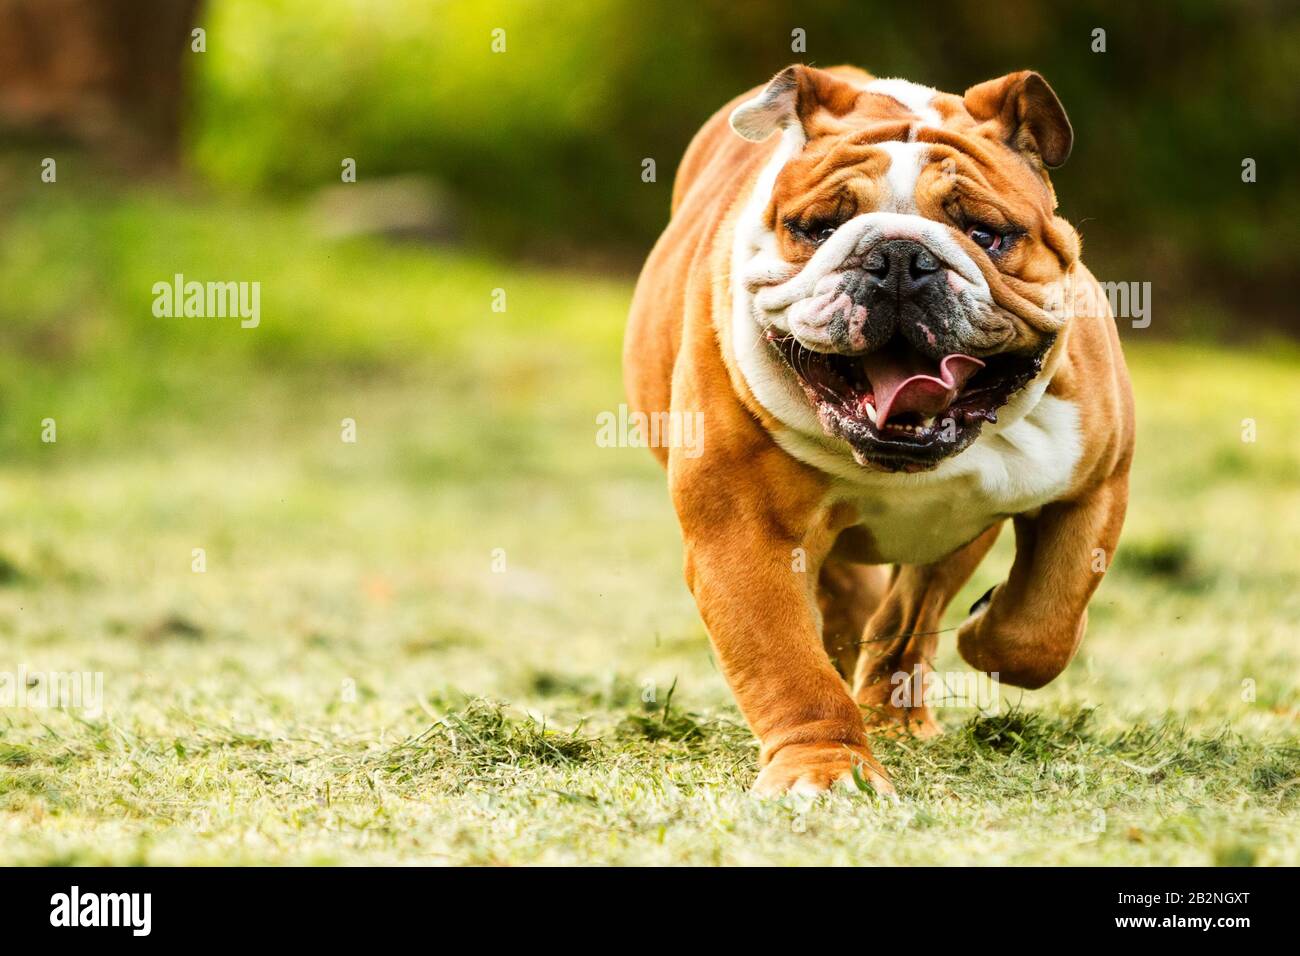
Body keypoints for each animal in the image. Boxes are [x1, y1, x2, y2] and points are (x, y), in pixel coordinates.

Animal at [624, 67, 1133, 796]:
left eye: (985, 233)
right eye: (818, 227)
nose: (898, 256)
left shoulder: (1096, 483)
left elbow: (1042, 622)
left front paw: (985, 631)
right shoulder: (744, 531)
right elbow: (787, 664)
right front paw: (826, 769)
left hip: (954, 539)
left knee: (910, 614)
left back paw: (898, 713)